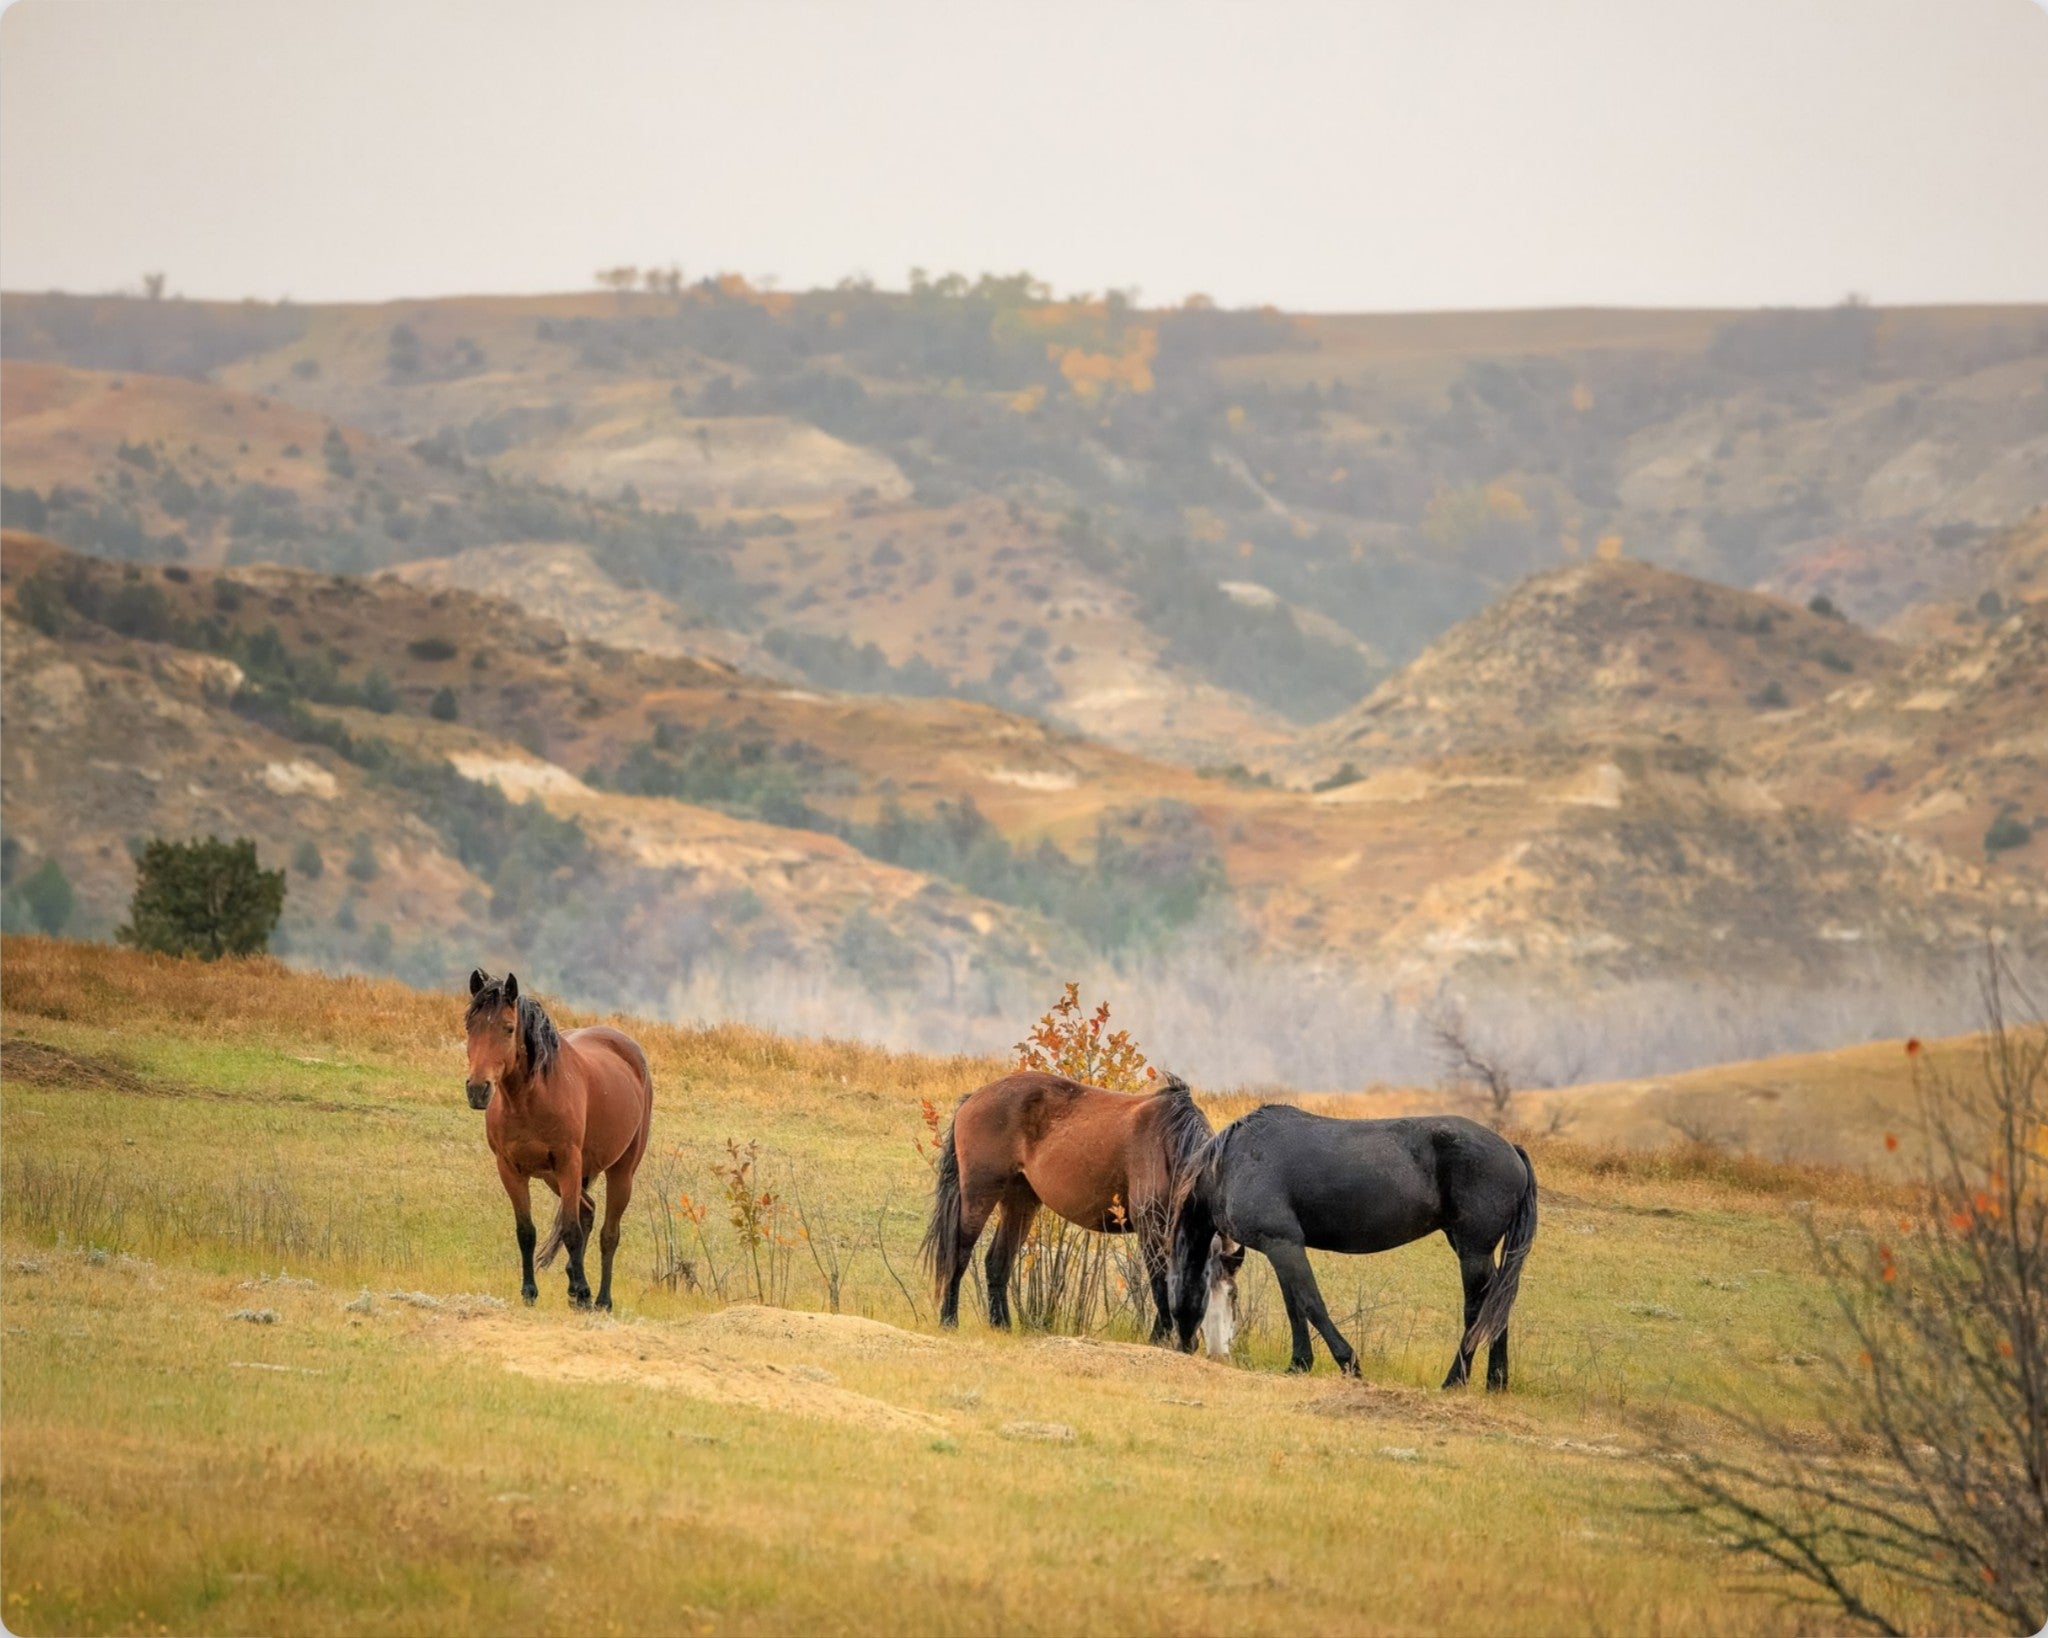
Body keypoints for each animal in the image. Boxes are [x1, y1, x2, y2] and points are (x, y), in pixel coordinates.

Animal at [463, 969, 654, 1311]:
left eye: (508, 1028)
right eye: (470, 1026)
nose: (477, 1090)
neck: (528, 1099)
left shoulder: (569, 1164)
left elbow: (571, 1230)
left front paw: (583, 1291)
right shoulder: (509, 1169)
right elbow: (526, 1232)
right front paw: (530, 1292)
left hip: (620, 1170)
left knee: (608, 1233)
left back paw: (601, 1299)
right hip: (554, 1177)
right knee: (588, 1210)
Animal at [921, 1070, 1222, 1342]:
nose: (1190, 1343)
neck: (1168, 1145)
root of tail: (974, 1098)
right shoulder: (1150, 1226)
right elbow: (1160, 1283)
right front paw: (1158, 1340)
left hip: (1020, 1201)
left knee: (997, 1261)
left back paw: (1001, 1326)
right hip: (979, 1193)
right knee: (958, 1254)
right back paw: (949, 1321)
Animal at [1170, 1106, 1537, 1389]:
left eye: (1230, 1296)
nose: (1189, 1346)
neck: (1231, 1163)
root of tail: (1512, 1149)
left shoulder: (1285, 1244)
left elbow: (1312, 1303)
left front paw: (1349, 1364)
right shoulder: (1278, 1249)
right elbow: (1295, 1307)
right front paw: (1299, 1363)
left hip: (1473, 1250)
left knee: (1477, 1310)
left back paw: (1454, 1381)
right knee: (1496, 1306)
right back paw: (1495, 1382)